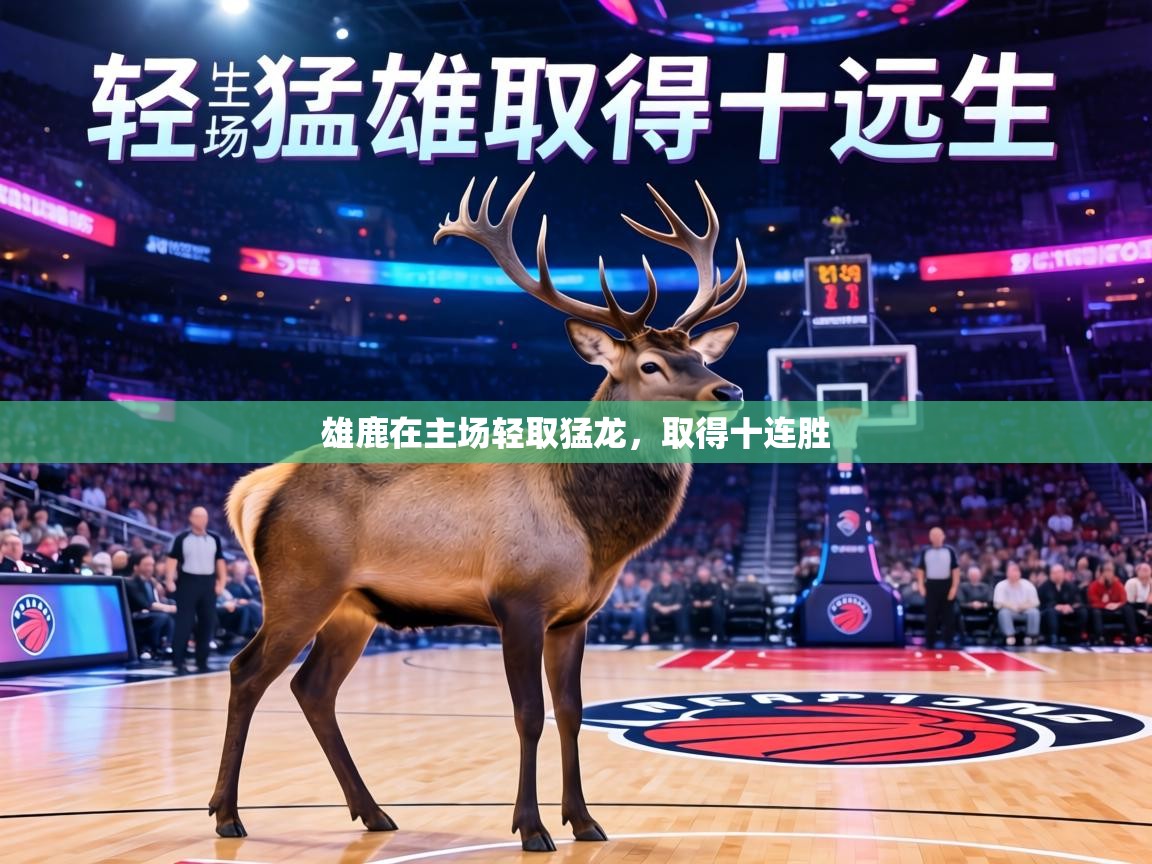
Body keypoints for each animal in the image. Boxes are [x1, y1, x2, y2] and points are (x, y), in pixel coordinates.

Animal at [208, 172, 747, 852]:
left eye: (700, 357)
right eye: (650, 364)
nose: (729, 390)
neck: (591, 528)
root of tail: (254, 489)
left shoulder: (575, 616)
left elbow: (570, 712)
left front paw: (586, 821)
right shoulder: (516, 598)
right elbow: (528, 714)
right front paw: (531, 827)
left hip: (352, 607)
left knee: (313, 688)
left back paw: (374, 811)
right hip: (299, 583)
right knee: (246, 671)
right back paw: (227, 813)